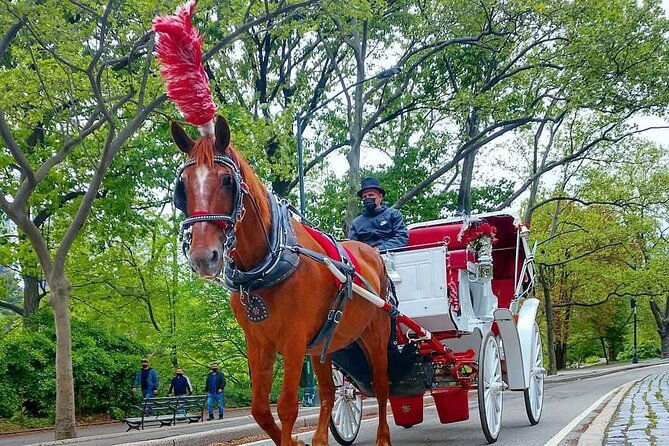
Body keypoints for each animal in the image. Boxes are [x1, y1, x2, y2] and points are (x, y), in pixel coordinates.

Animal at [171, 115, 393, 446]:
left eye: (226, 180)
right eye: (183, 186)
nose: (202, 257)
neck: (264, 268)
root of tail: (374, 253)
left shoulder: (293, 339)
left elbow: (288, 406)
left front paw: (292, 438)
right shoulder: (258, 343)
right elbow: (261, 410)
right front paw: (298, 440)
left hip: (375, 335)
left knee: (381, 387)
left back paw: (382, 437)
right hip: (323, 346)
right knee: (329, 393)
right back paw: (320, 438)